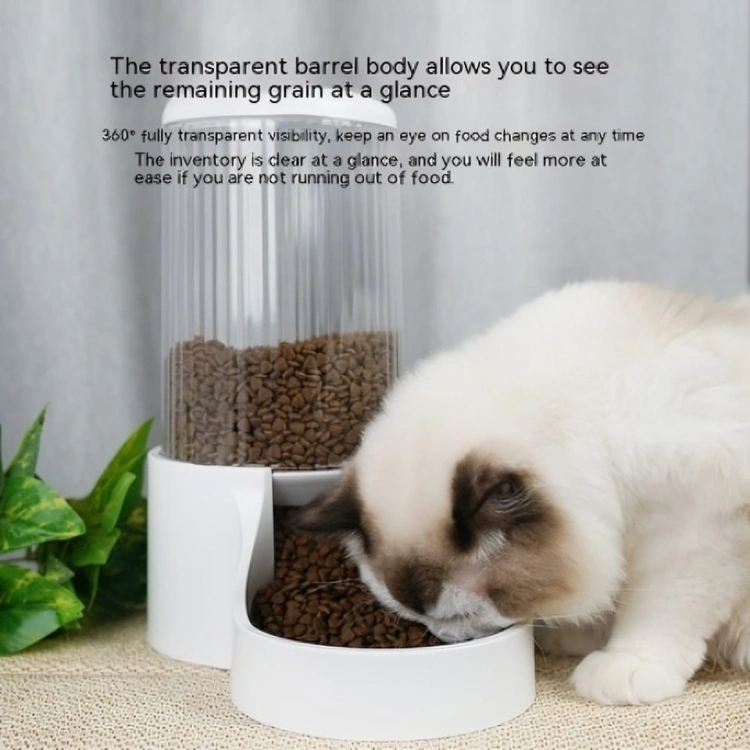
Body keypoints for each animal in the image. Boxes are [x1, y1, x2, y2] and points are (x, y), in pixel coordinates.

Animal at [294, 280, 750, 704]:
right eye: (416, 618)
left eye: (458, 615)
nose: (448, 638)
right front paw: (577, 636)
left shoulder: (694, 526)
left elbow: (662, 607)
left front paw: (626, 665)